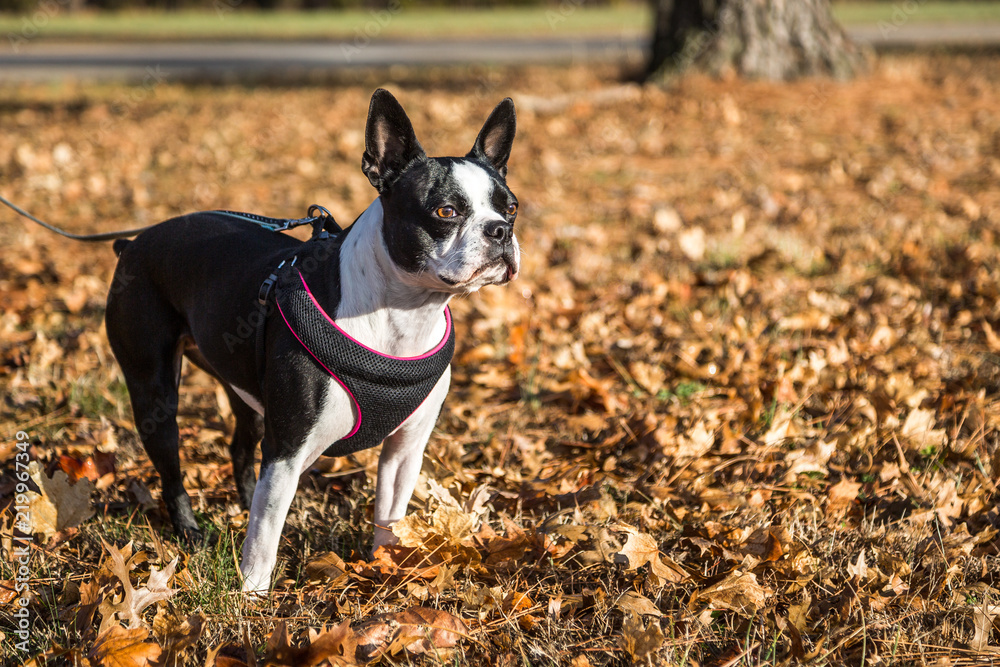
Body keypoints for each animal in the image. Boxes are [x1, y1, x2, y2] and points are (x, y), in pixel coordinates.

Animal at [104, 90, 520, 596]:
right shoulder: (288, 446)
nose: (501, 230)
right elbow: (265, 537)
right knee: (173, 470)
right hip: (154, 391)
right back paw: (191, 532)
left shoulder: (405, 448)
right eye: (446, 211)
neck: (403, 314)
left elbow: (389, 514)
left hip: (245, 392)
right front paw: (252, 597)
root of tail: (132, 243)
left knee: (243, 453)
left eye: (511, 208)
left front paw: (388, 567)